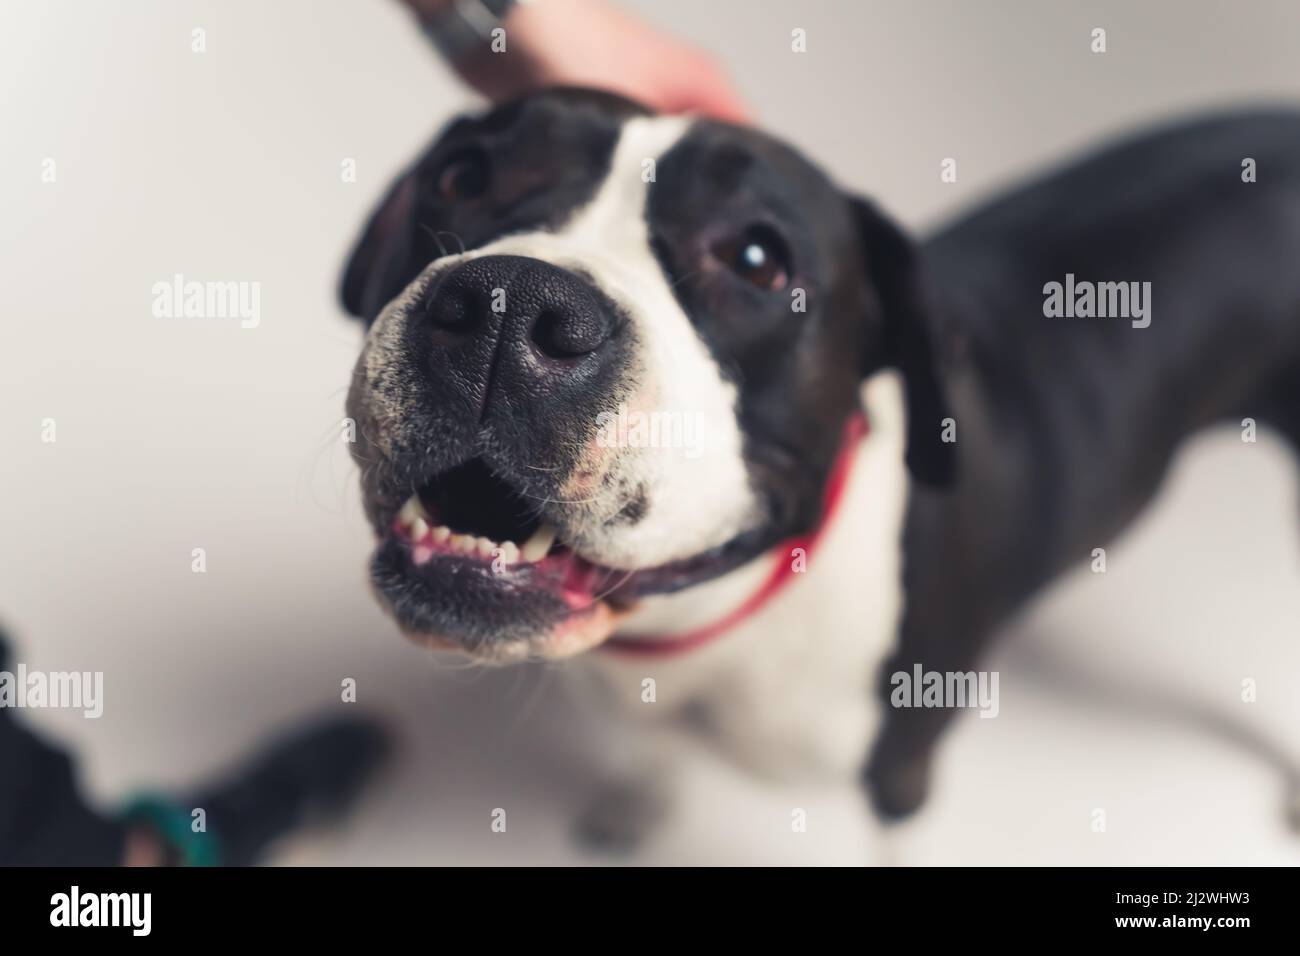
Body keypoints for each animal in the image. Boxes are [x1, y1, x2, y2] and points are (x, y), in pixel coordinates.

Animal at [340, 89, 1300, 848]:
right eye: (462, 177)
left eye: (757, 260)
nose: (510, 308)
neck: (704, 624)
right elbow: (650, 750)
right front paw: (637, 802)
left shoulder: (900, 778)